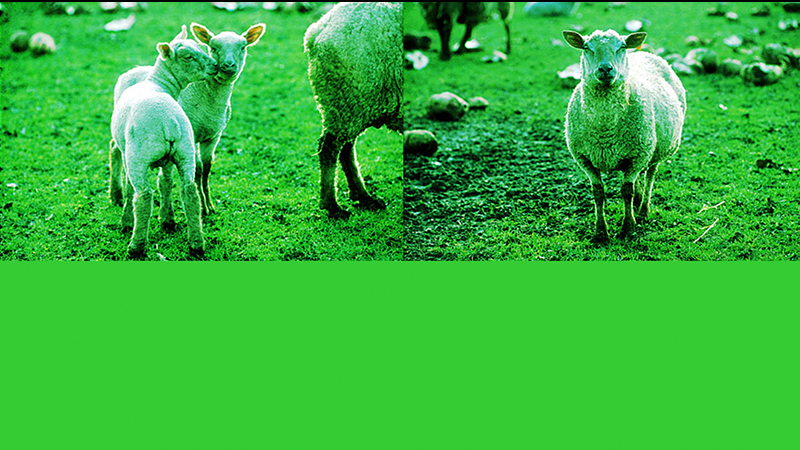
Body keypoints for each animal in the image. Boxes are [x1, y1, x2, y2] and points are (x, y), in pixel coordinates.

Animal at [109, 22, 266, 215]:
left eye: (243, 48)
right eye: (213, 48)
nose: (229, 65)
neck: (207, 102)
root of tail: (133, 69)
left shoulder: (213, 136)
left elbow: (206, 168)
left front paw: (210, 204)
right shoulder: (191, 133)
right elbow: (197, 169)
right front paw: (203, 207)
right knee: (115, 148)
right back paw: (116, 194)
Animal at [110, 26, 218, 258]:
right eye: (188, 56)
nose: (216, 66)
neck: (157, 83)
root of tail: (169, 121)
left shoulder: (130, 154)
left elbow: (131, 188)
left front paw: (126, 221)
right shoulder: (169, 160)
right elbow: (166, 183)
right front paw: (167, 219)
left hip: (138, 155)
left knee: (143, 195)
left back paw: (136, 246)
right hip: (186, 150)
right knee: (189, 192)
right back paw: (197, 244)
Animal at [304, 2, 403, 219]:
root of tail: (318, 30)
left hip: (352, 104)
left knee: (346, 148)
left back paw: (363, 197)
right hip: (348, 99)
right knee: (330, 148)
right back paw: (332, 206)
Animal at [563, 29, 686, 243]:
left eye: (621, 47)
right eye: (587, 47)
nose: (605, 69)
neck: (605, 128)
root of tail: (644, 53)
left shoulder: (637, 155)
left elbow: (626, 191)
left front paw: (628, 227)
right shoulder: (585, 158)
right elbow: (598, 193)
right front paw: (600, 232)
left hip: (654, 150)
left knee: (649, 175)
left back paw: (643, 210)